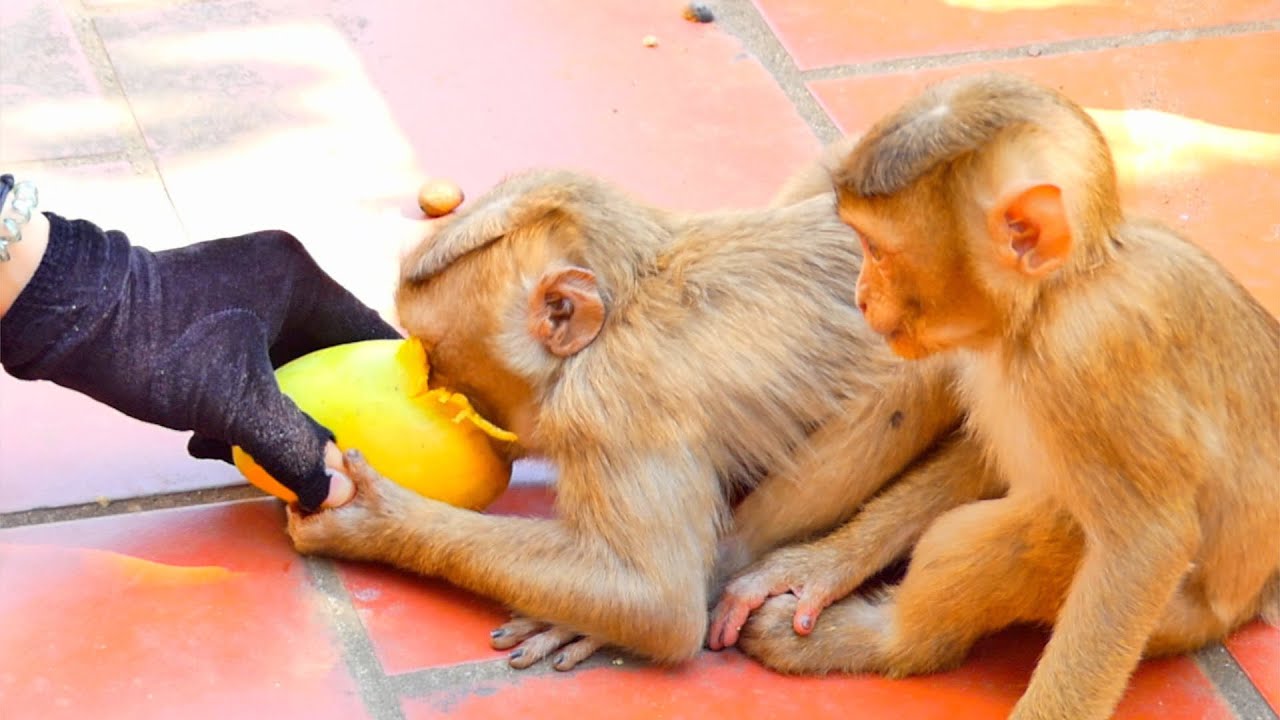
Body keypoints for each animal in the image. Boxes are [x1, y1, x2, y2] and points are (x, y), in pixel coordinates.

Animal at [284, 157, 966, 671]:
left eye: (446, 374)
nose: (438, 394)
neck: (624, 305)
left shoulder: (613, 403)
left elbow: (655, 599)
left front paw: (376, 523)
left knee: (923, 368)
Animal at [721, 72, 1280, 720]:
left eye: (876, 251)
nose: (861, 296)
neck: (1054, 297)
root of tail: (1254, 600)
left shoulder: (1088, 352)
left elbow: (1146, 547)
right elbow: (982, 457)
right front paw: (819, 567)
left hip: (1179, 620)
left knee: (1049, 527)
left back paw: (893, 642)